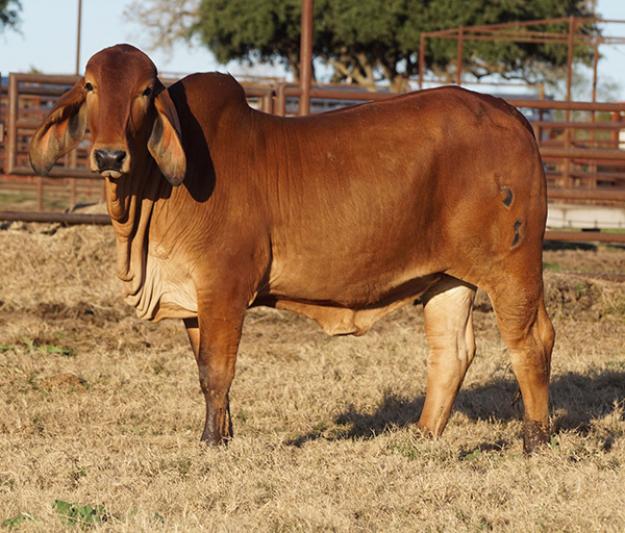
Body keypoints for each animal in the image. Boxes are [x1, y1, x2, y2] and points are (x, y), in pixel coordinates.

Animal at [29, 44, 554, 453]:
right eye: (90, 86)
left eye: (143, 91)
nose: (109, 155)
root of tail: (511, 113)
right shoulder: (192, 301)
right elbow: (204, 373)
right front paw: (224, 434)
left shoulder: (224, 287)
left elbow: (217, 370)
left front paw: (211, 442)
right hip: (450, 277)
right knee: (452, 351)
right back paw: (421, 437)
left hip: (513, 266)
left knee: (531, 342)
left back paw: (535, 440)